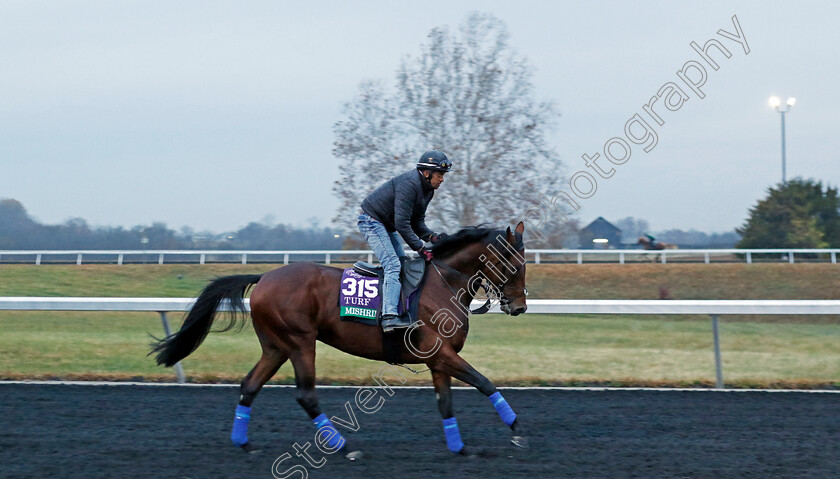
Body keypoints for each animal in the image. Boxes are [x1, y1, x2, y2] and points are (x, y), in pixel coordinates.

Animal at [153, 223, 524, 456]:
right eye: (511, 263)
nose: (519, 306)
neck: (443, 284)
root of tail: (265, 276)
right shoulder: (442, 354)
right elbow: (484, 381)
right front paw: (516, 425)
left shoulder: (437, 360)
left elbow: (446, 402)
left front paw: (459, 447)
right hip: (300, 341)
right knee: (306, 395)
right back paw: (344, 446)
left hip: (275, 347)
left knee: (250, 385)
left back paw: (244, 443)